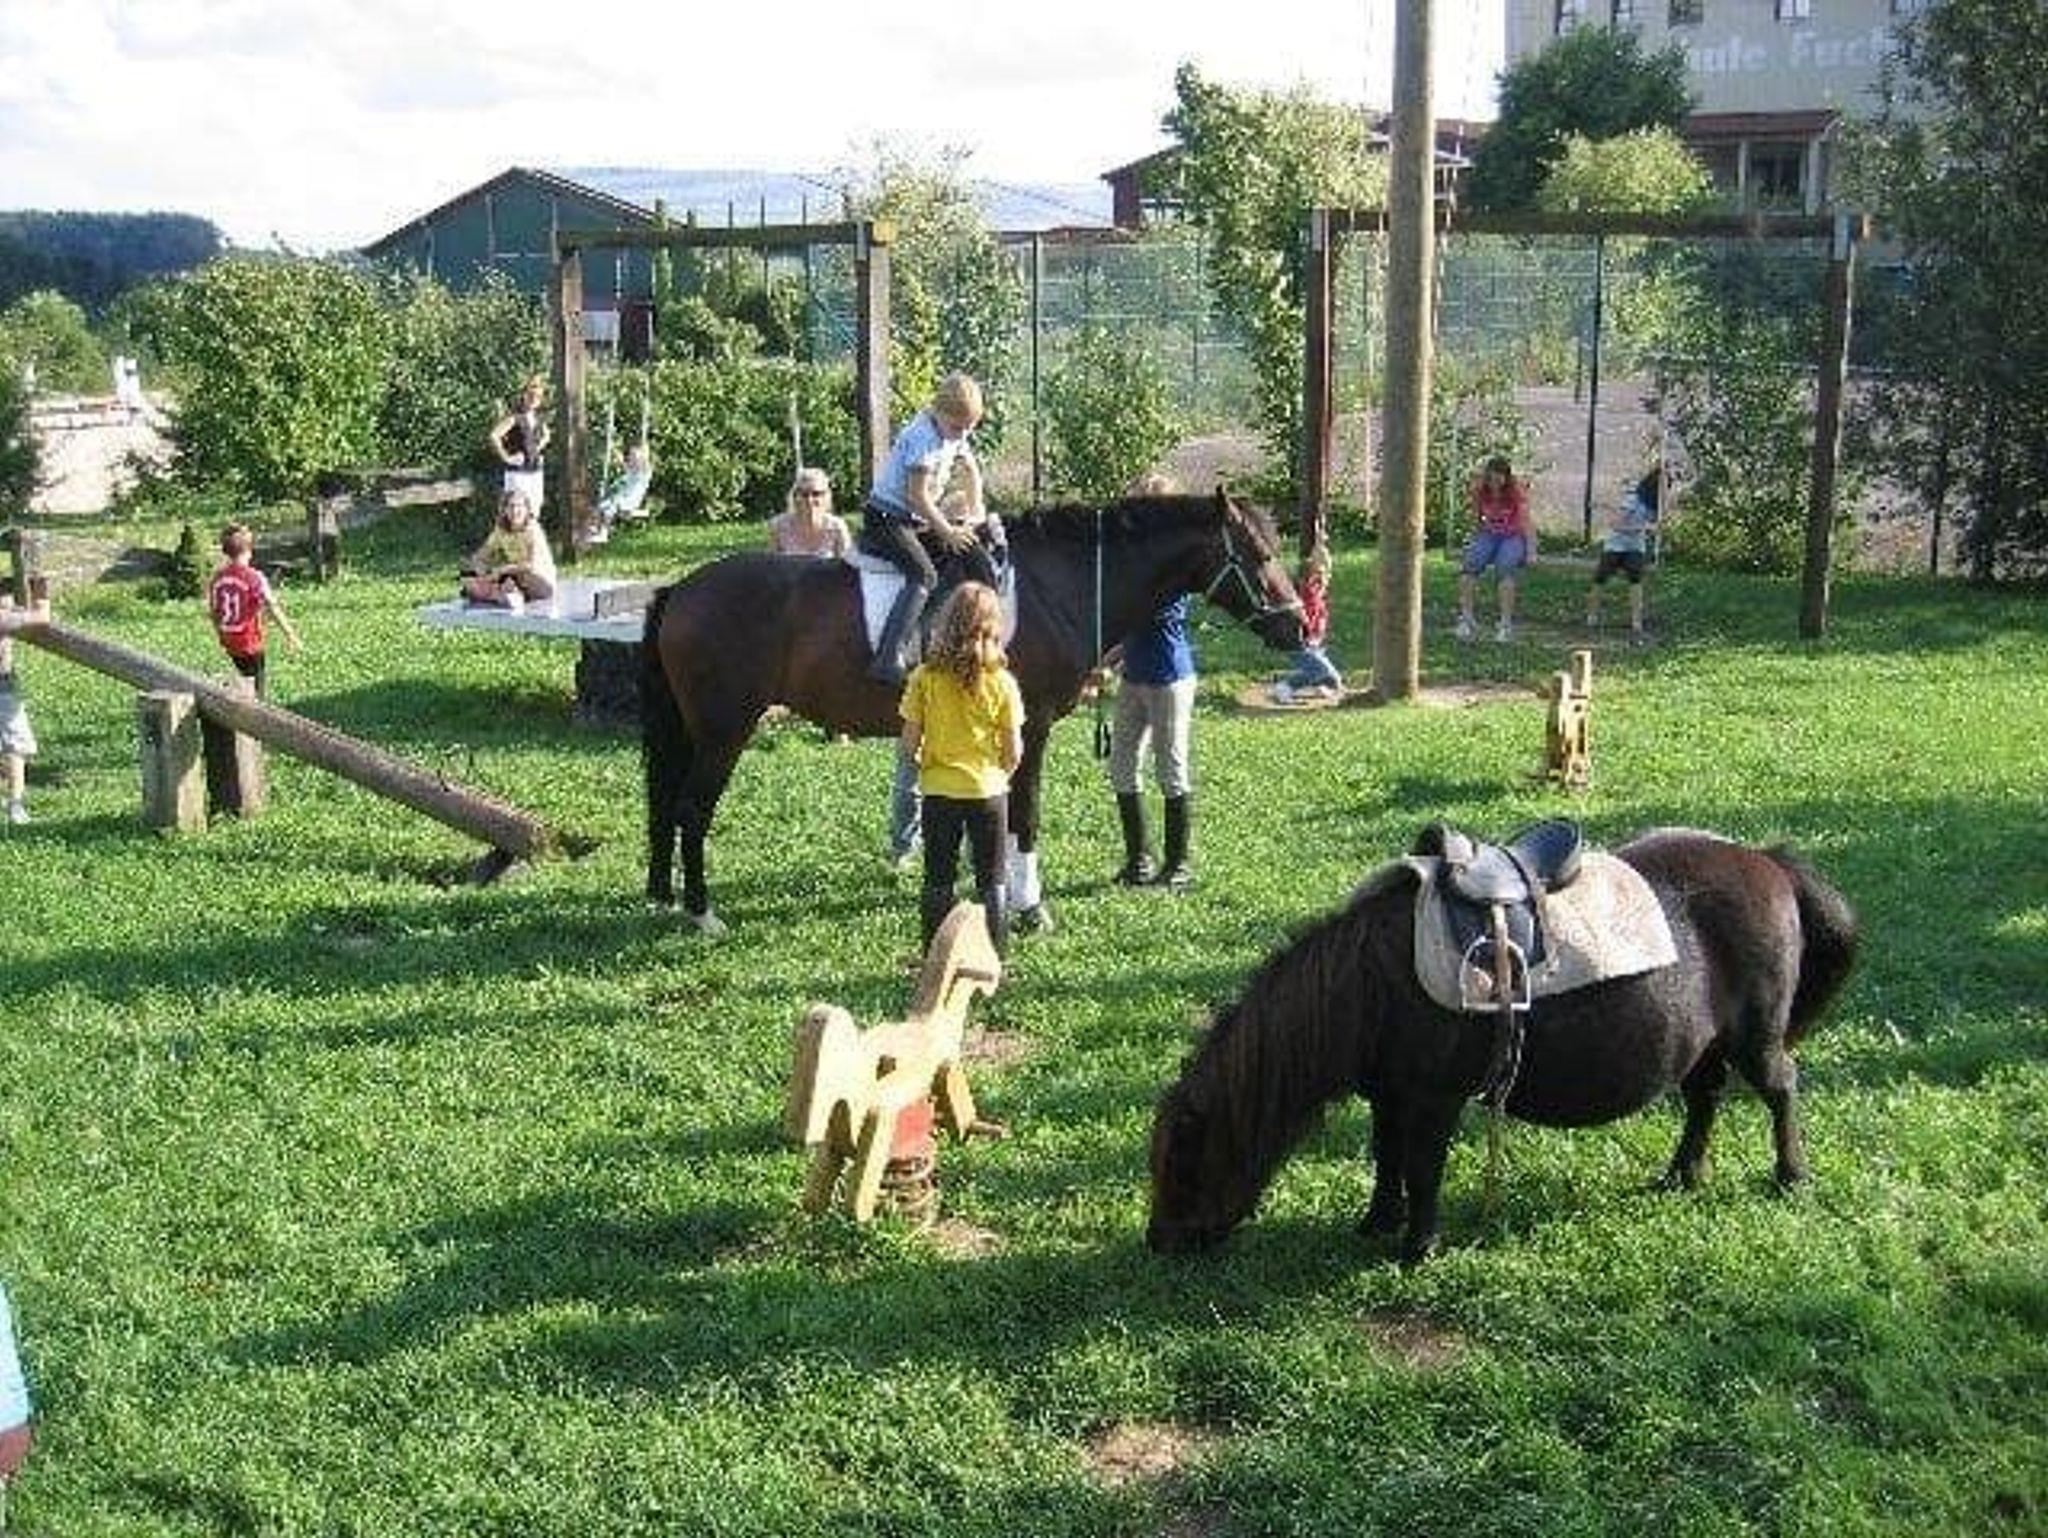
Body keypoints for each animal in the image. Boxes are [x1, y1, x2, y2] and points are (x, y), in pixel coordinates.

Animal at [641, 491, 1305, 933]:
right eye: (1256, 553)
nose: (1299, 625)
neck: (1053, 585)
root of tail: (680, 590)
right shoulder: (1031, 726)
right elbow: (1025, 816)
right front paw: (1030, 907)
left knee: (671, 809)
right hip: (723, 733)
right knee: (691, 811)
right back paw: (702, 912)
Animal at [1147, 828, 1859, 1265]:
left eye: (1183, 1161)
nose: (1158, 1241)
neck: (1372, 981)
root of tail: (1769, 861)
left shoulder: (1434, 1100)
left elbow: (1422, 1168)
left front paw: (1417, 1245)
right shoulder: (1388, 1094)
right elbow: (1387, 1158)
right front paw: (1378, 1222)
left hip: (1756, 1038)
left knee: (1780, 1087)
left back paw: (1791, 1176)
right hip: (1704, 1046)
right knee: (1705, 1098)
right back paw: (1683, 1174)